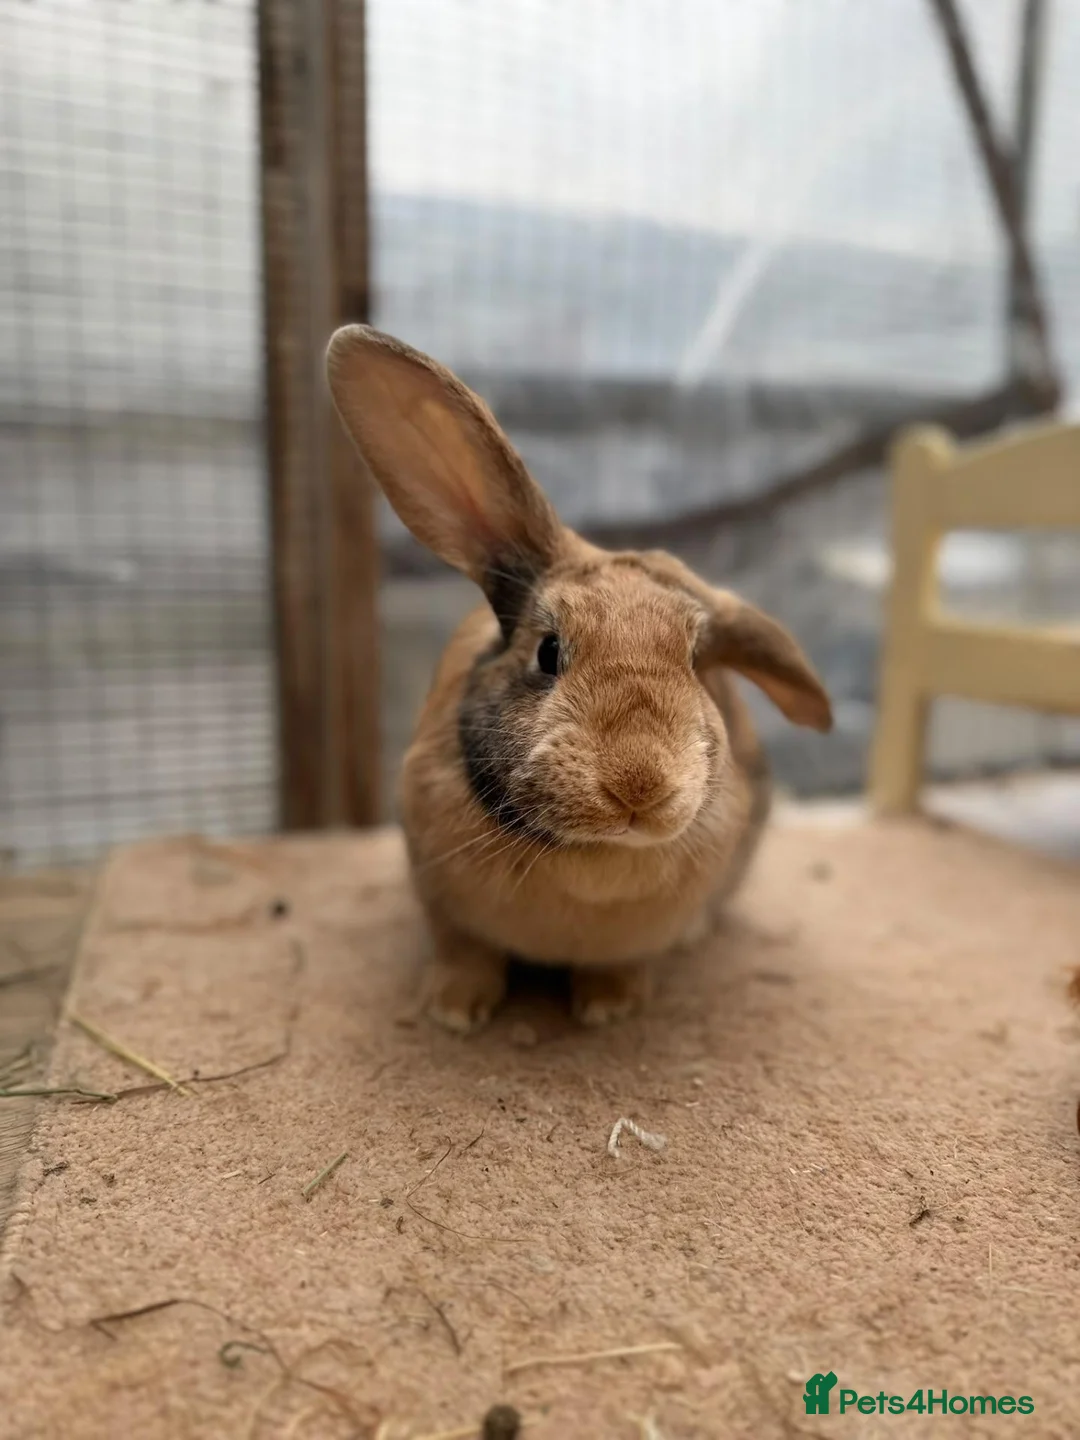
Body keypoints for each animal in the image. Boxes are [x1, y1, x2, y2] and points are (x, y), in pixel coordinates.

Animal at [326, 326, 832, 1034]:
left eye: (697, 662)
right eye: (548, 651)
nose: (638, 786)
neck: (595, 854)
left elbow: (617, 964)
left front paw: (608, 1008)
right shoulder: (442, 903)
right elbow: (466, 952)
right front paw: (453, 1012)